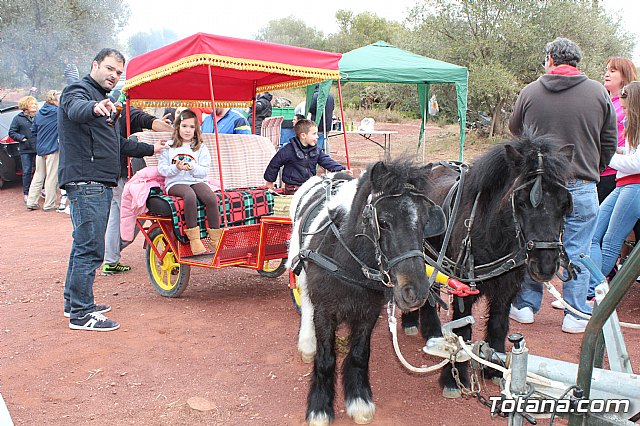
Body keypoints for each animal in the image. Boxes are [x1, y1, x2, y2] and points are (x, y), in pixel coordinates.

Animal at [404, 131, 576, 398]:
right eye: (522, 202)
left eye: (564, 204)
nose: (546, 265)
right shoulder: (464, 288)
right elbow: (462, 333)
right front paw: (453, 378)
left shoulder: (507, 289)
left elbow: (499, 324)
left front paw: (495, 368)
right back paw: (415, 322)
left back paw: (430, 330)